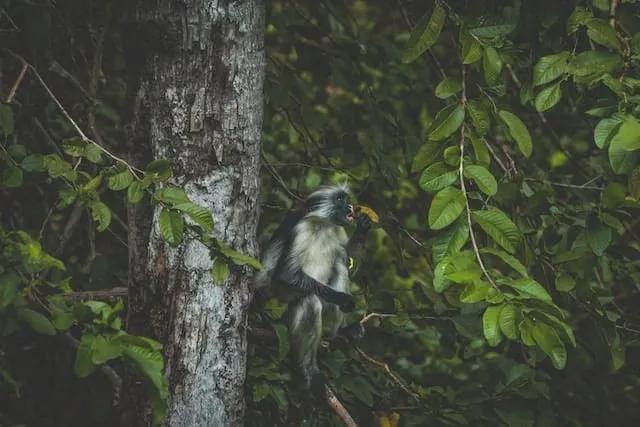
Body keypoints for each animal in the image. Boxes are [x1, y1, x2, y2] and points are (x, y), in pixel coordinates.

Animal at [255, 184, 371, 393]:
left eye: (347, 199)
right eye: (340, 199)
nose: (351, 206)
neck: (324, 225)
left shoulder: (338, 230)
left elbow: (347, 261)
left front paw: (362, 228)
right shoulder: (302, 228)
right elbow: (287, 274)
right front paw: (343, 299)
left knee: (339, 265)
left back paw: (338, 332)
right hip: (280, 301)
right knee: (309, 300)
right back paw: (308, 370)